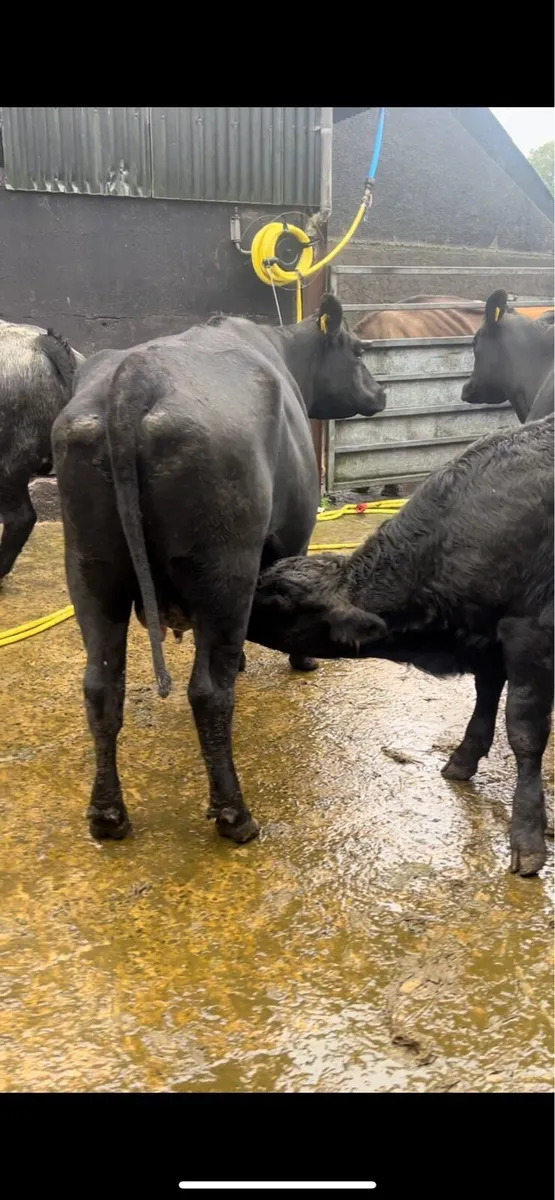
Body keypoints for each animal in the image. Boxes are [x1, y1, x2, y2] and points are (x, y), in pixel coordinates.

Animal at [52, 294, 387, 847]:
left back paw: (107, 815)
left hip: (91, 568)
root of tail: (136, 374)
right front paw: (303, 660)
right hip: (225, 567)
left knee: (101, 687)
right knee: (208, 691)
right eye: (359, 350)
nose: (380, 393)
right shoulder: (295, 531)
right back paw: (235, 814)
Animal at [247, 416, 554, 879]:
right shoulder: (487, 633)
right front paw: (463, 760)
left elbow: (524, 732)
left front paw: (528, 836)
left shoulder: (529, 631)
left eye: (279, 598)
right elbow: (485, 695)